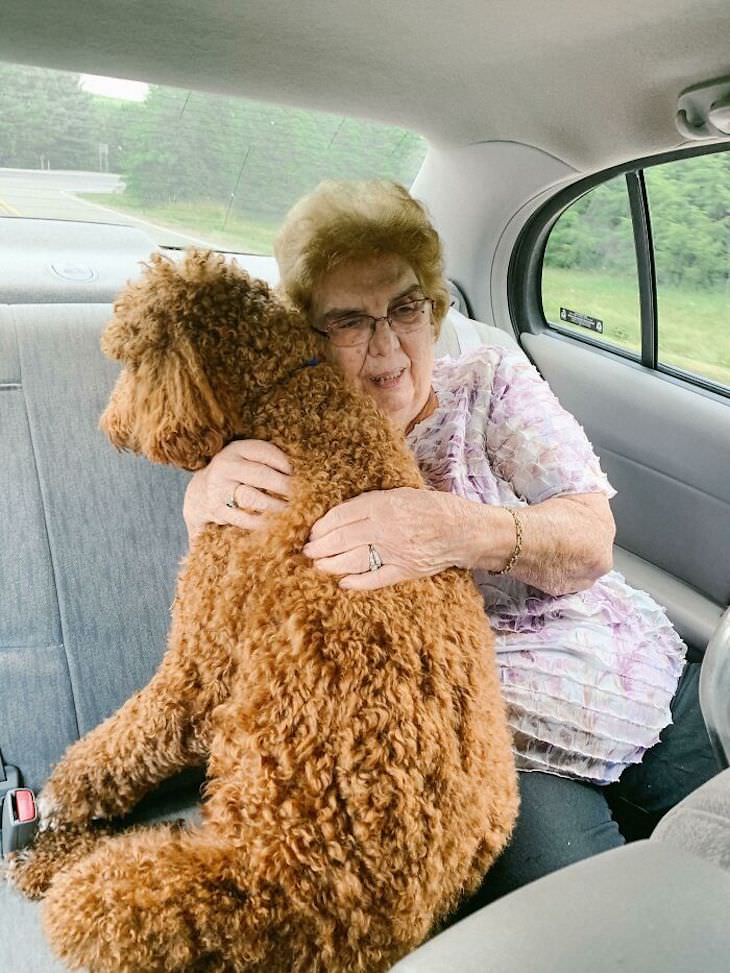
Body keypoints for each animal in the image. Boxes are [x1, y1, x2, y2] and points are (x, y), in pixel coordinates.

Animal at [8, 251, 516, 972]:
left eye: (129, 360)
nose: (110, 425)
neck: (290, 391)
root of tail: (375, 930)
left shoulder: (200, 662)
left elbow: (115, 745)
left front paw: (57, 804)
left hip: (139, 896)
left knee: (92, 894)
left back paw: (52, 859)